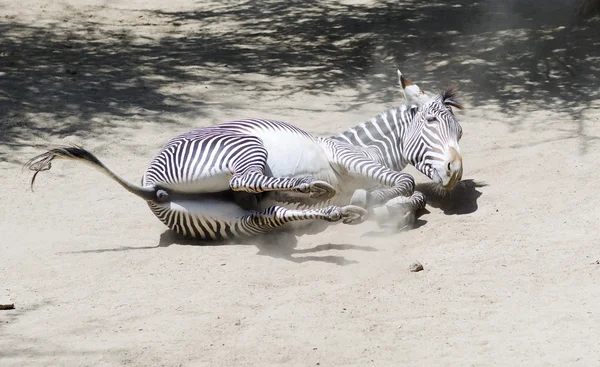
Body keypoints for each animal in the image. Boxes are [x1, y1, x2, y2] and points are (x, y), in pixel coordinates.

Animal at [24, 71, 464, 243]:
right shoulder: (348, 156)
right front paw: (378, 202)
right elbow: (405, 184)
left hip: (231, 219)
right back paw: (314, 189)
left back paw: (334, 210)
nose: (456, 171)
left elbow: (414, 194)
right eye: (429, 120)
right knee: (244, 180)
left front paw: (379, 205)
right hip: (245, 147)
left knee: (261, 213)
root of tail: (151, 186)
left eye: (460, 133)